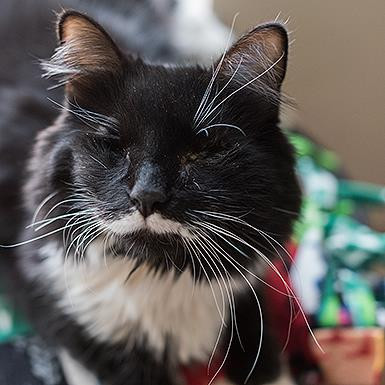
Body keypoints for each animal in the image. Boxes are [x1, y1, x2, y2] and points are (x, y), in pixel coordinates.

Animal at [0, 0, 300, 384]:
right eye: (115, 146)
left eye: (205, 151)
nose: (146, 196)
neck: (158, 273)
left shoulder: (248, 293)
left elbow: (264, 355)